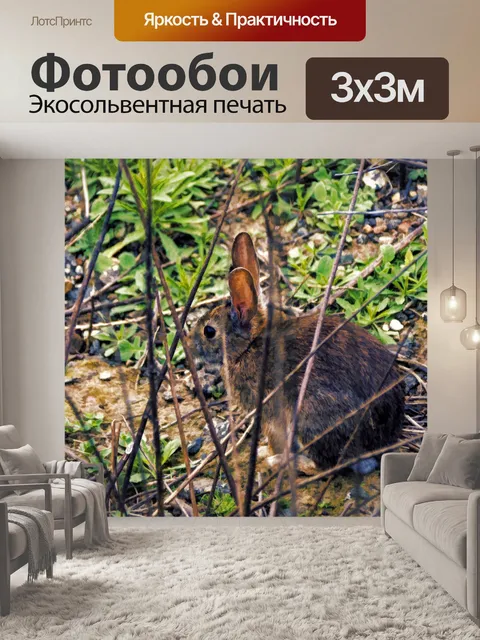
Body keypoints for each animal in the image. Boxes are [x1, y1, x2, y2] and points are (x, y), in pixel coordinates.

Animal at [189, 232, 405, 474]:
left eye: (209, 331)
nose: (188, 344)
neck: (248, 346)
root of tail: (380, 440)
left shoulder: (269, 414)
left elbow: (274, 439)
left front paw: (266, 454)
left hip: (310, 418)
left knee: (321, 466)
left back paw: (282, 462)